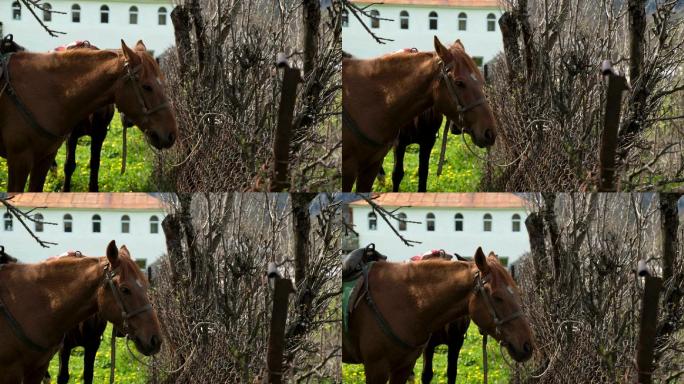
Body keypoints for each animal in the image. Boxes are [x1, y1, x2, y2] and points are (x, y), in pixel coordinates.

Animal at [0, 39, 176, 192]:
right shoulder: (21, 160)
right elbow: (69, 165)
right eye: (147, 87)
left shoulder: (96, 135)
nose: (170, 134)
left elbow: (95, 164)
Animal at [0, 242, 162, 382]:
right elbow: (63, 376)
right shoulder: (13, 371)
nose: (155, 340)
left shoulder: (40, 368)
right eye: (125, 289)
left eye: (146, 285)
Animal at [342, 36, 496, 191]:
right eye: (459, 83)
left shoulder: (427, 142)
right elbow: (397, 174)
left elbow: (423, 174)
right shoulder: (397, 145)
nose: (489, 132)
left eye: (481, 80)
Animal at [344, 248, 532, 382]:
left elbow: (451, 373)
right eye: (497, 297)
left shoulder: (405, 366)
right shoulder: (377, 368)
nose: (527, 346)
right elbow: (427, 375)